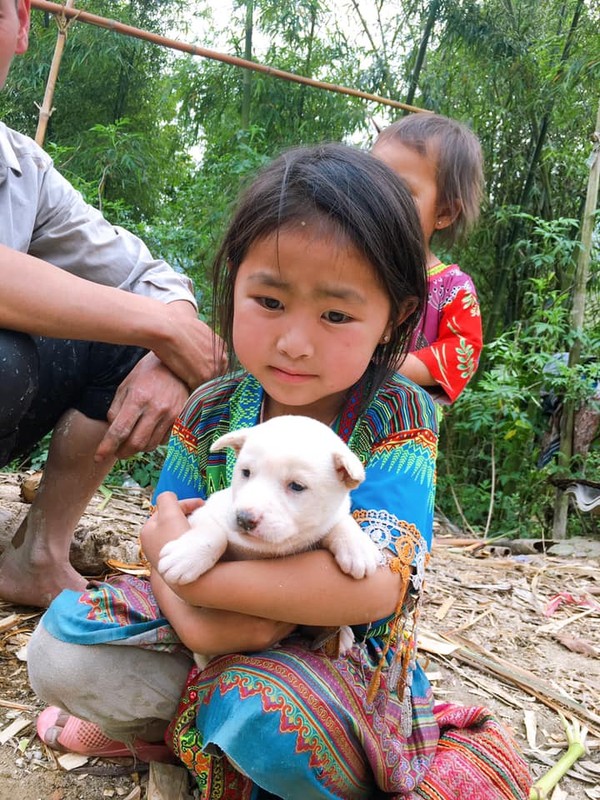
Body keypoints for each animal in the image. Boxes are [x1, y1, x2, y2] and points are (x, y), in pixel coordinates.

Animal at [156, 416, 380, 660]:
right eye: (245, 472)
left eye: (297, 486)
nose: (244, 519)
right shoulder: (204, 511)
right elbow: (214, 532)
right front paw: (185, 557)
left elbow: (341, 522)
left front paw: (358, 548)